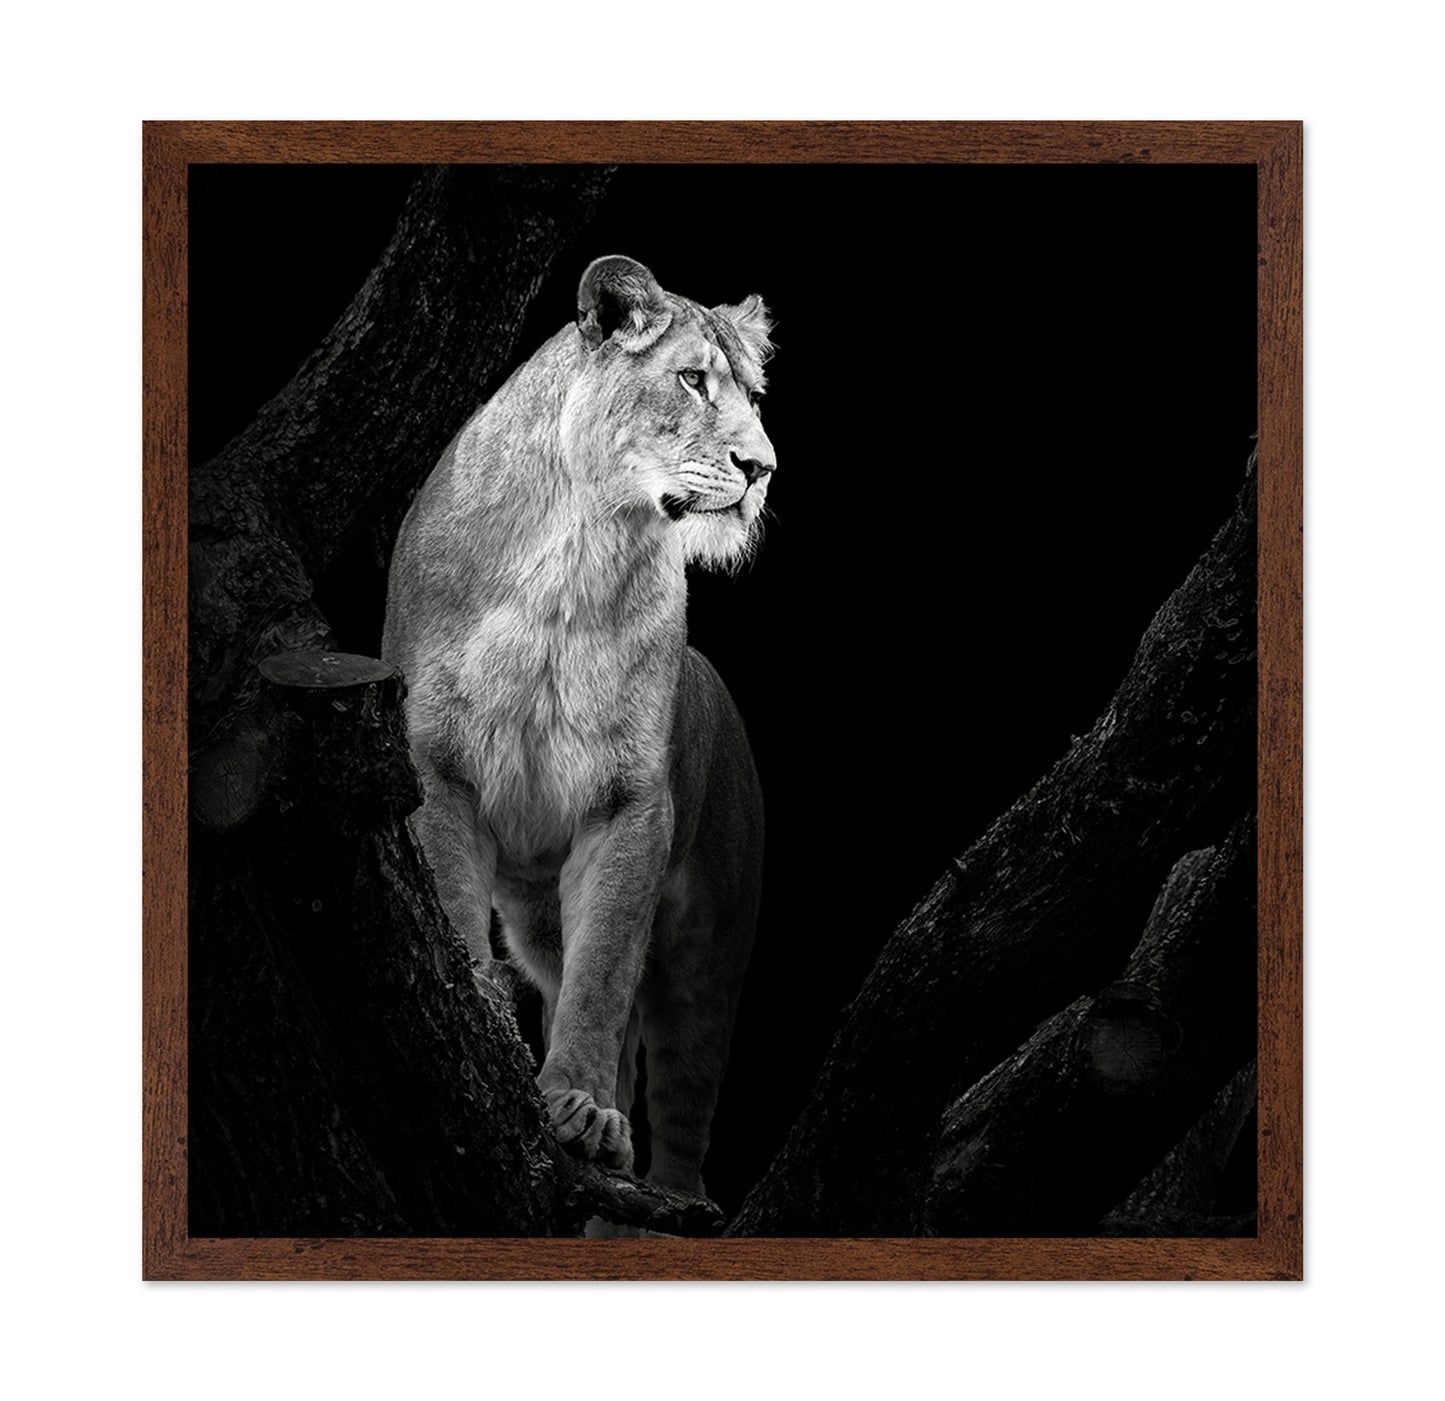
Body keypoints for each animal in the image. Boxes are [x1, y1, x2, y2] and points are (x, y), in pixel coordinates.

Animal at [382, 255, 775, 1202]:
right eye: (691, 379)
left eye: (753, 393)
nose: (763, 467)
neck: (580, 547)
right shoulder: (436, 765)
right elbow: (456, 911)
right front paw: (486, 1025)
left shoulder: (628, 805)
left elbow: (602, 978)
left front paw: (585, 1110)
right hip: (536, 918)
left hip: (713, 948)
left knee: (680, 1092)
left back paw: (668, 1196)